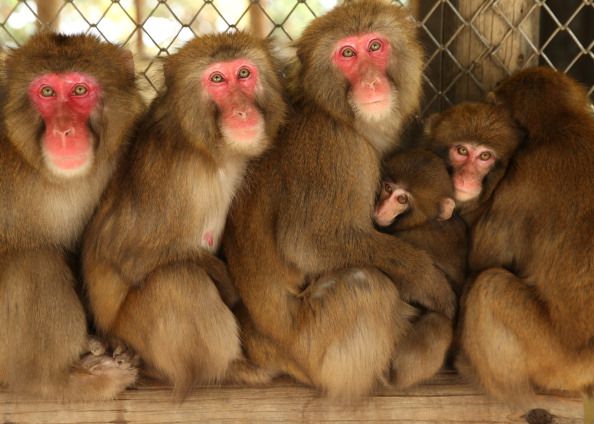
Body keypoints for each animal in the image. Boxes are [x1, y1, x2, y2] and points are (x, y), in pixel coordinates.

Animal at [83, 31, 286, 392]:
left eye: (243, 74)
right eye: (217, 79)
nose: (242, 110)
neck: (209, 151)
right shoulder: (172, 173)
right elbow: (123, 252)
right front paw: (226, 282)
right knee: (178, 280)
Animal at [222, 0, 454, 398]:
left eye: (374, 46)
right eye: (347, 54)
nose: (371, 81)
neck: (334, 112)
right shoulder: (335, 147)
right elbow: (309, 242)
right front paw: (428, 280)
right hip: (315, 350)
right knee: (364, 285)